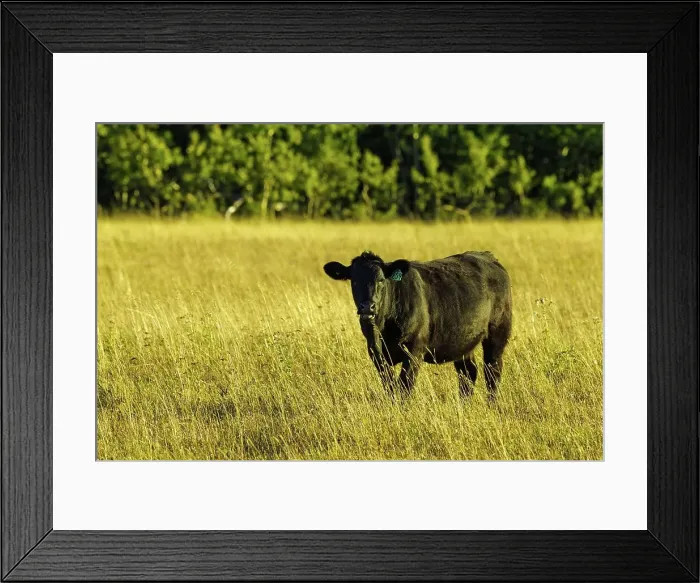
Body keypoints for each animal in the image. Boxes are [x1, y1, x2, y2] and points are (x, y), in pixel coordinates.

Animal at [323, 250, 512, 401]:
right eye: (354, 281)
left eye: (381, 280)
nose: (367, 307)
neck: (384, 328)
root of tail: (488, 257)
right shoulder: (376, 353)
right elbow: (389, 385)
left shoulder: (414, 350)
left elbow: (404, 386)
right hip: (464, 342)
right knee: (468, 373)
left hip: (497, 334)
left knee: (492, 371)